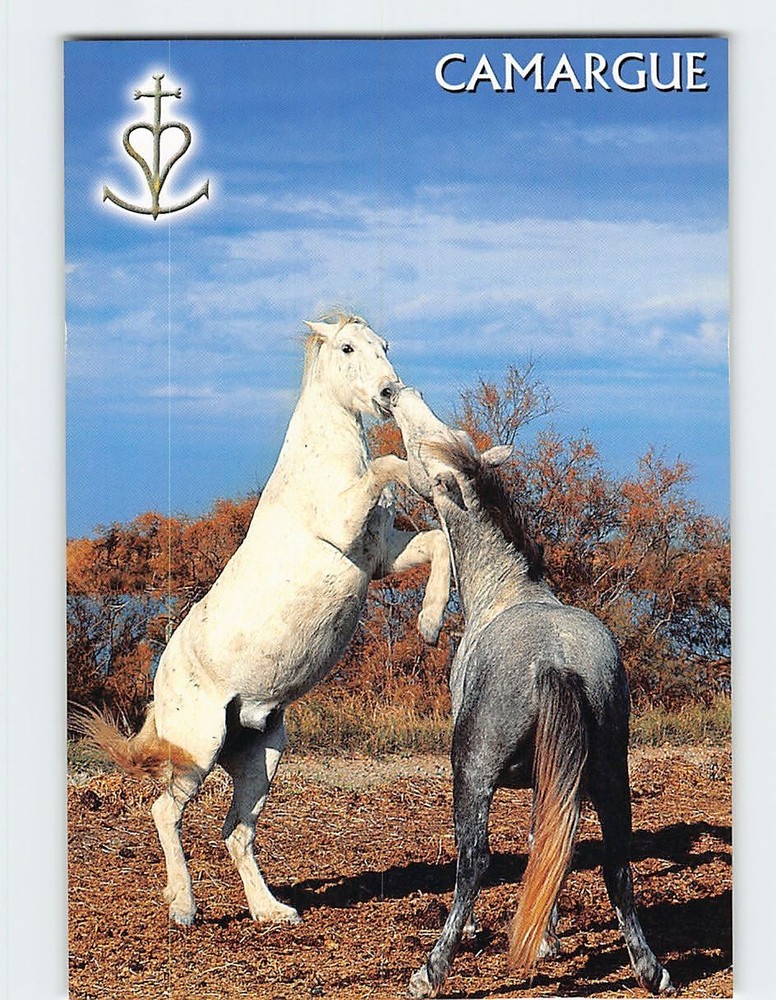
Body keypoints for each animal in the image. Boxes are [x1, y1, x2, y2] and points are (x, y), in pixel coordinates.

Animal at [74, 316, 450, 928]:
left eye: (385, 347)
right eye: (348, 347)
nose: (389, 394)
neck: (321, 464)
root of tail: (161, 685)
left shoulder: (383, 555)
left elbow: (438, 541)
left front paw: (431, 623)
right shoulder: (345, 527)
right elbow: (390, 466)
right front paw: (419, 473)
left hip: (261, 756)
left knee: (236, 832)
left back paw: (271, 911)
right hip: (199, 749)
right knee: (164, 812)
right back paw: (184, 907)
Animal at [390, 387, 673, 998]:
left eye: (425, 444)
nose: (397, 394)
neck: (507, 590)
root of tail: (556, 662)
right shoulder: (556, 778)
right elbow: (549, 843)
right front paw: (546, 935)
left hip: (471, 775)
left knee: (474, 861)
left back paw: (432, 968)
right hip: (610, 774)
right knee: (617, 862)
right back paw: (650, 969)